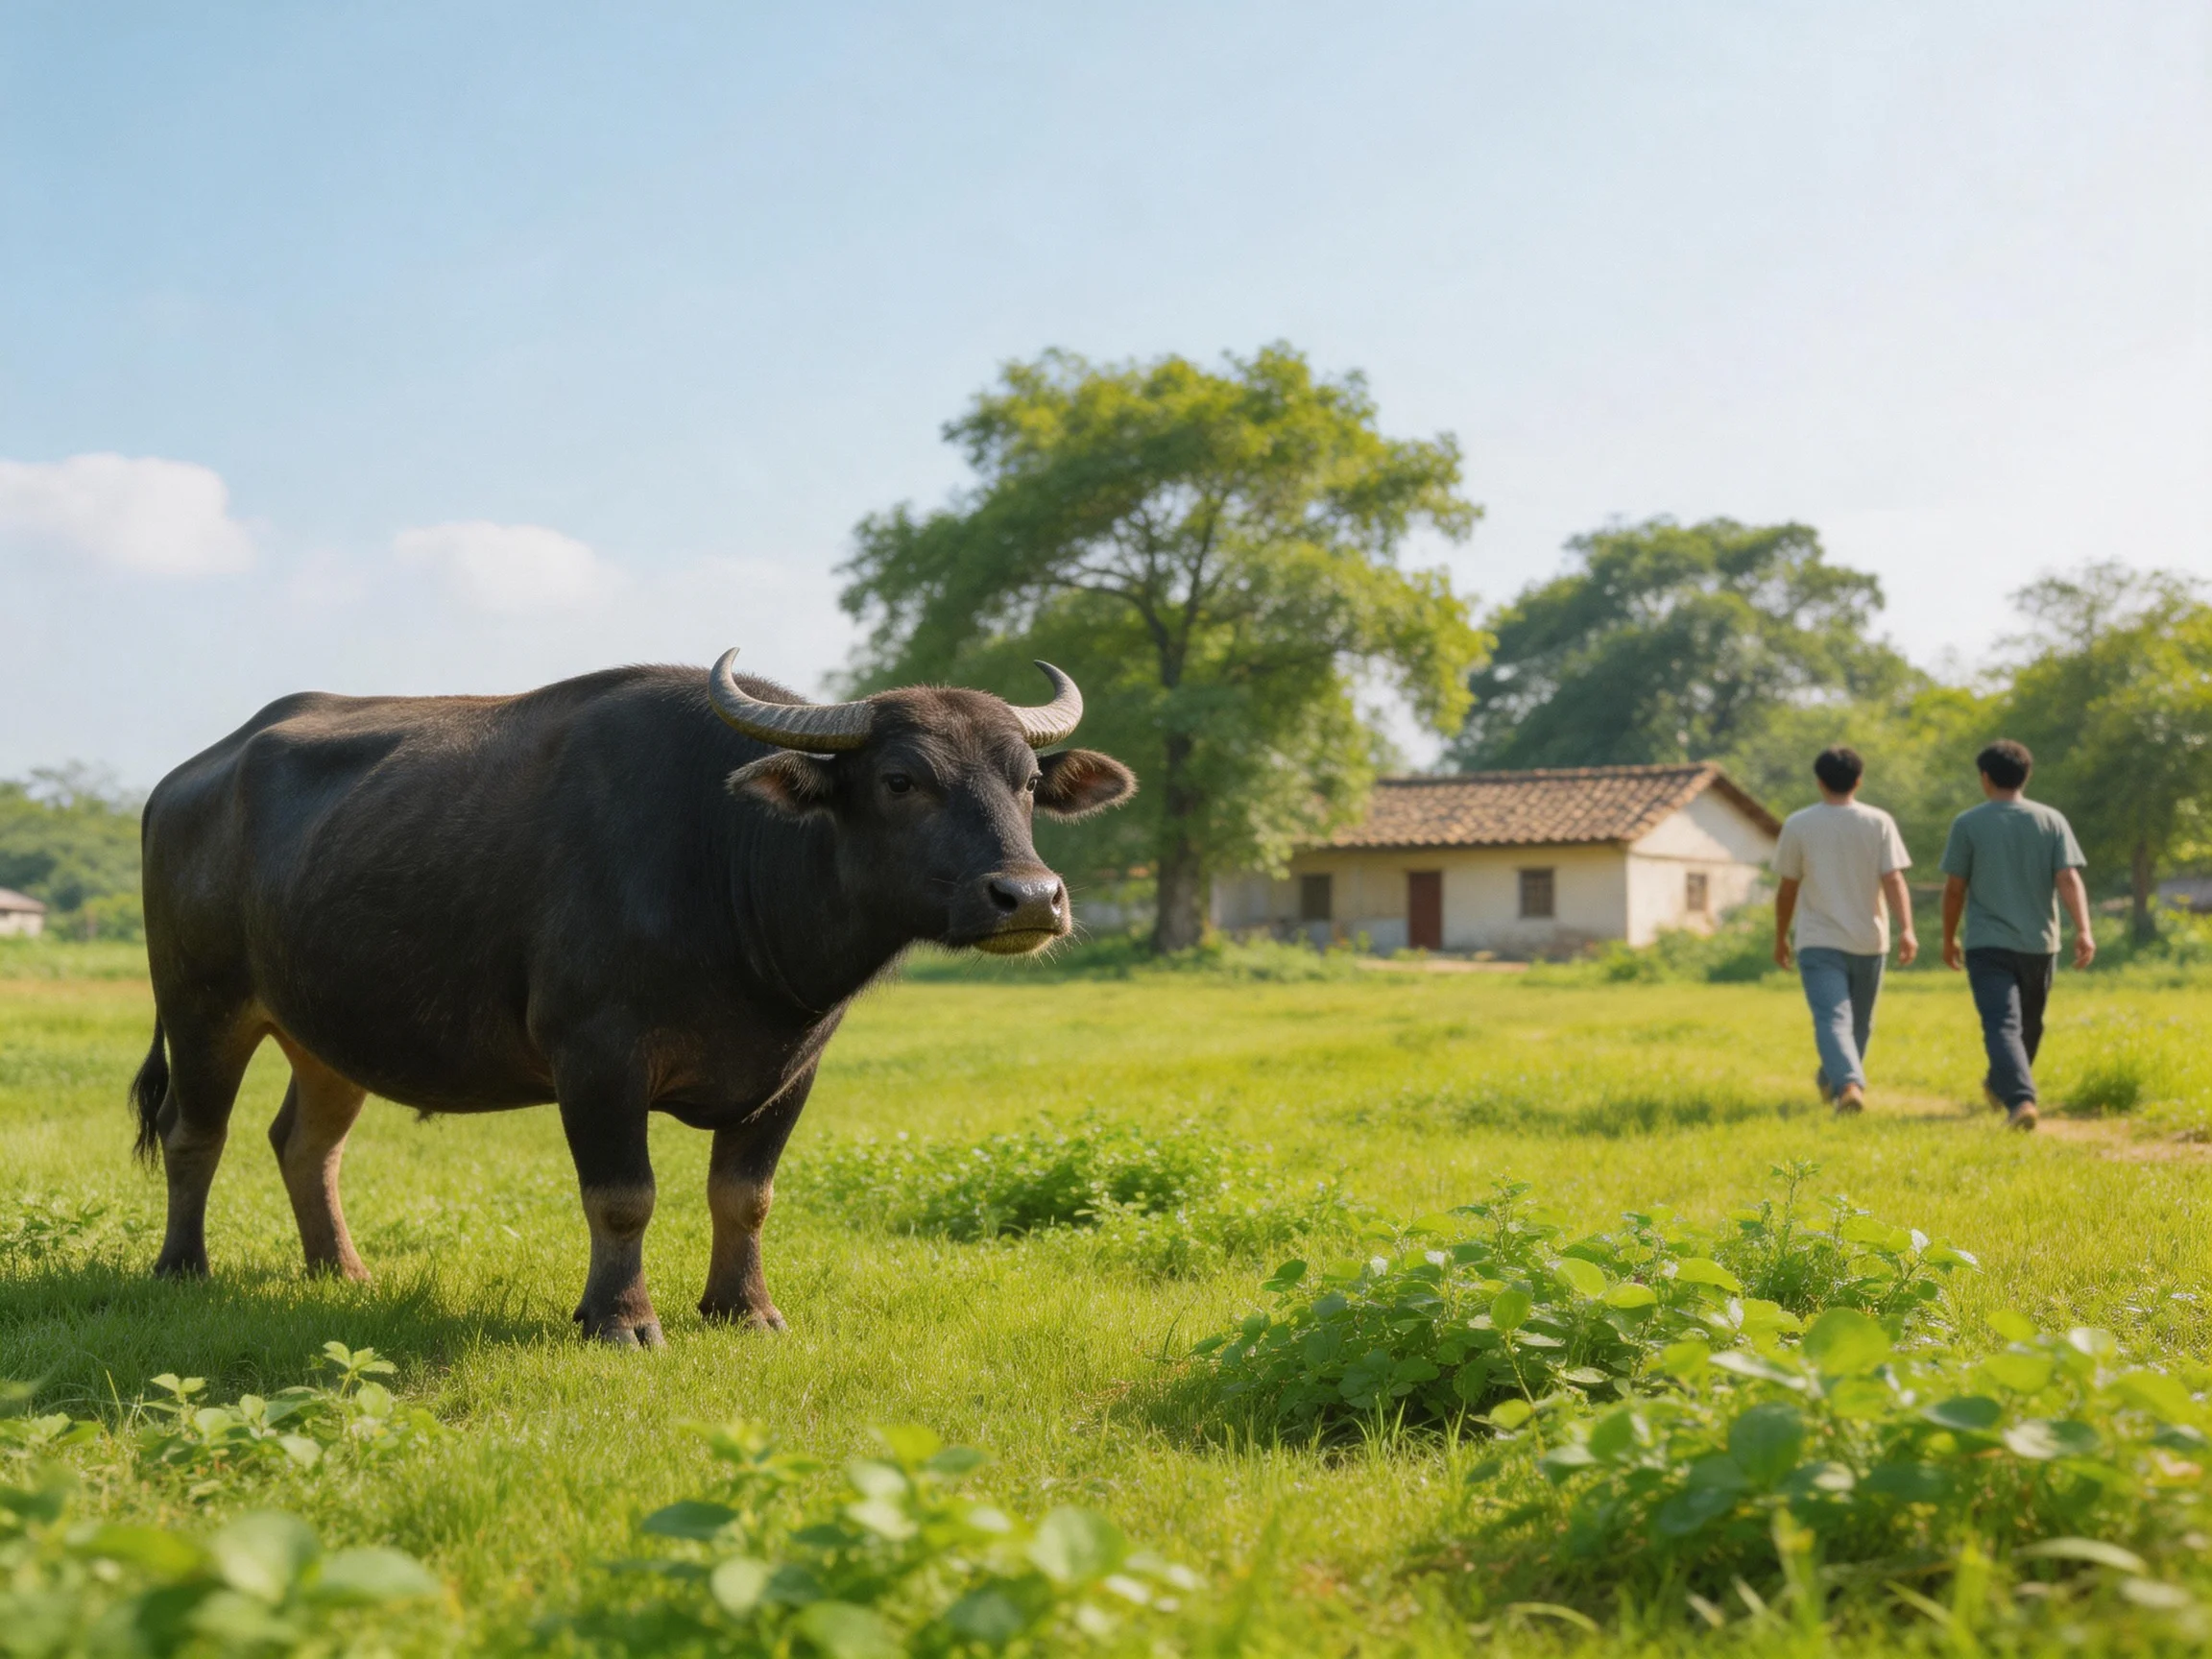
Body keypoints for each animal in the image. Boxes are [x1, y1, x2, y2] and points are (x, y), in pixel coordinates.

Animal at [130, 653, 1135, 1345]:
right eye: (901, 780)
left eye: (1028, 783)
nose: (1030, 898)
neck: (728, 864)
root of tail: (182, 781)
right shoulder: (596, 1056)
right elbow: (623, 1196)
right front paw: (619, 1319)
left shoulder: (794, 1070)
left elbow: (745, 1194)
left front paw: (744, 1309)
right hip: (203, 1003)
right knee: (194, 1133)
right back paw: (183, 1266)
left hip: (324, 1029)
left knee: (306, 1143)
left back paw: (340, 1271)